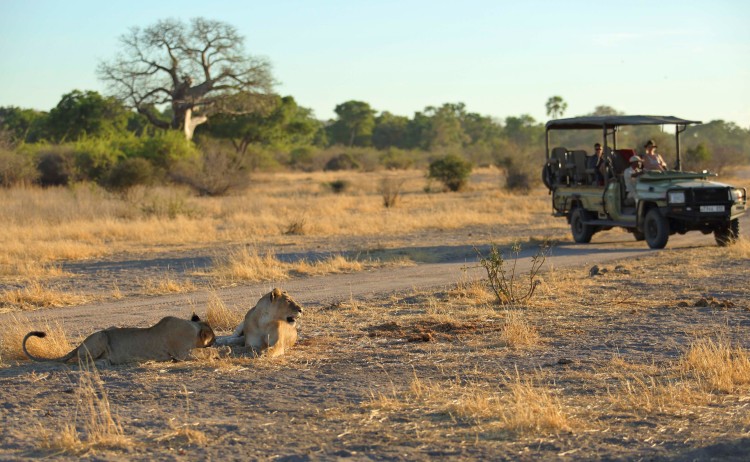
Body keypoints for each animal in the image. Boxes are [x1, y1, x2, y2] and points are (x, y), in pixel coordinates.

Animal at [22, 314, 218, 366]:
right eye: (213, 336)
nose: (215, 340)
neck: (194, 328)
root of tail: (80, 344)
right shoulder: (181, 354)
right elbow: (204, 355)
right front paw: (218, 353)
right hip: (101, 336)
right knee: (81, 360)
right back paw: (103, 363)